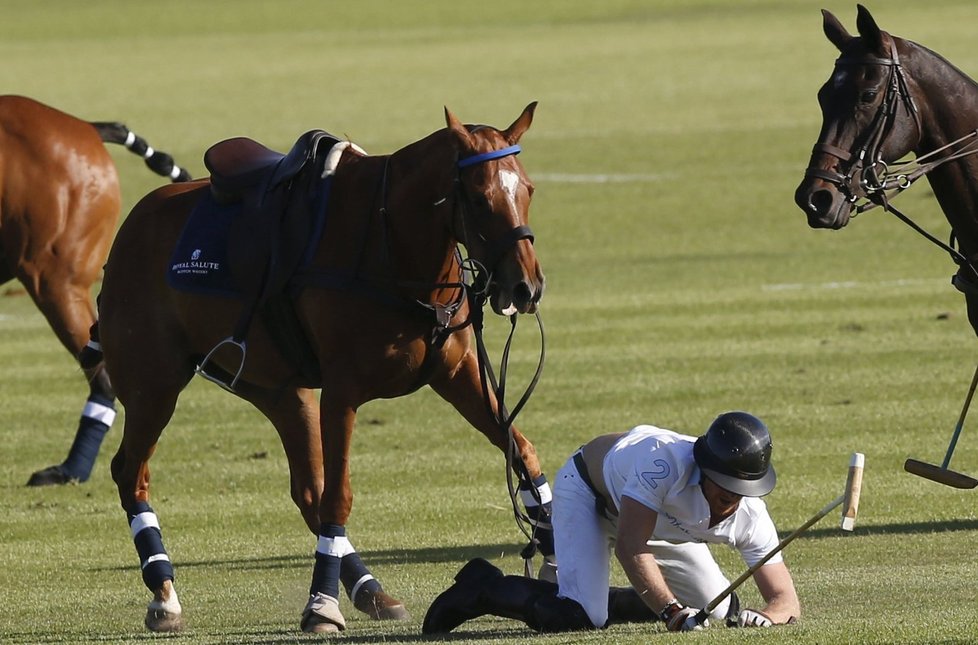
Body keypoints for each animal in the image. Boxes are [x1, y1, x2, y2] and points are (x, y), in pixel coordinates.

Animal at [97, 103, 556, 632]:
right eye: (480, 198)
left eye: (528, 189)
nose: (526, 287)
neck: (392, 245)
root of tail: (132, 222)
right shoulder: (342, 392)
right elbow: (341, 494)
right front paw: (320, 604)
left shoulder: (458, 376)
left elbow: (523, 453)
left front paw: (554, 557)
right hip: (154, 386)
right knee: (131, 473)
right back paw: (164, 593)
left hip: (279, 390)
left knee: (306, 490)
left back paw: (370, 590)